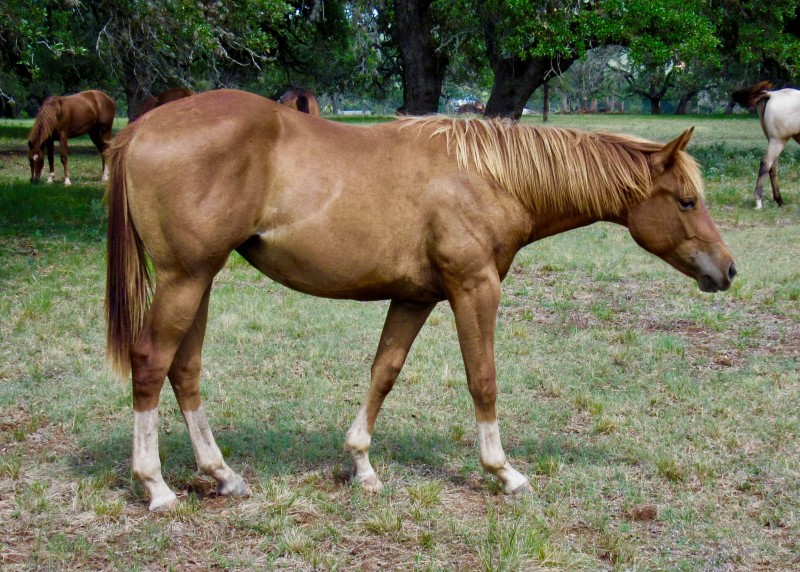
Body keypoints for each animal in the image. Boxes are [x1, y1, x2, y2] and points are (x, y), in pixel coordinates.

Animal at [106, 89, 736, 510]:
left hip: (200, 280)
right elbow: (483, 379)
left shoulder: (415, 299)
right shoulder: (474, 289)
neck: (490, 176)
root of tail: (139, 129)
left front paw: (361, 465)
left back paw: (222, 475)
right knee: (151, 362)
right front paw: (503, 472)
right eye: (685, 201)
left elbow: (384, 372)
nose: (727, 270)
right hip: (186, 278)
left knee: (185, 369)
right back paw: (156, 486)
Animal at [732, 79, 800, 207]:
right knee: (766, 164)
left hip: (775, 142)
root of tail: (772, 94)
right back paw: (759, 201)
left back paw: (779, 200)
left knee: (772, 167)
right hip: (777, 141)